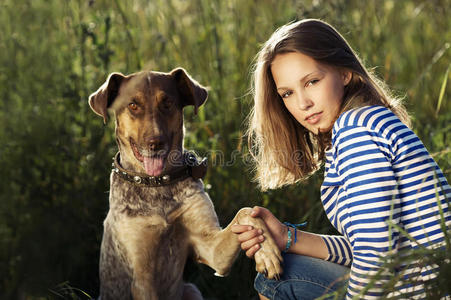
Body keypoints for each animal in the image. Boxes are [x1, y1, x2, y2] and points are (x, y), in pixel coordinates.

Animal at [88, 68, 282, 300]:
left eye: (168, 103)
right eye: (133, 105)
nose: (156, 143)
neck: (157, 184)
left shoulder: (212, 250)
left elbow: (247, 212)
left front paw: (267, 254)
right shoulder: (142, 279)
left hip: (191, 289)